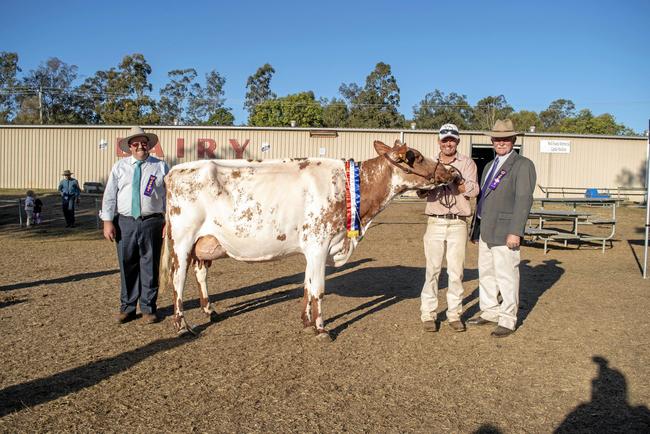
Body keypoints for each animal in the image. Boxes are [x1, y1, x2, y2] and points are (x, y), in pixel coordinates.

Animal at [159, 141, 458, 338]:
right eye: (416, 156)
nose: (451, 173)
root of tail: (175, 171)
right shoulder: (319, 243)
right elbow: (319, 289)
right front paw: (321, 328)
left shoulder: (314, 248)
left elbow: (306, 285)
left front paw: (305, 320)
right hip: (182, 240)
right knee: (178, 280)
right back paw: (182, 326)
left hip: (203, 243)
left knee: (199, 274)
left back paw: (210, 311)